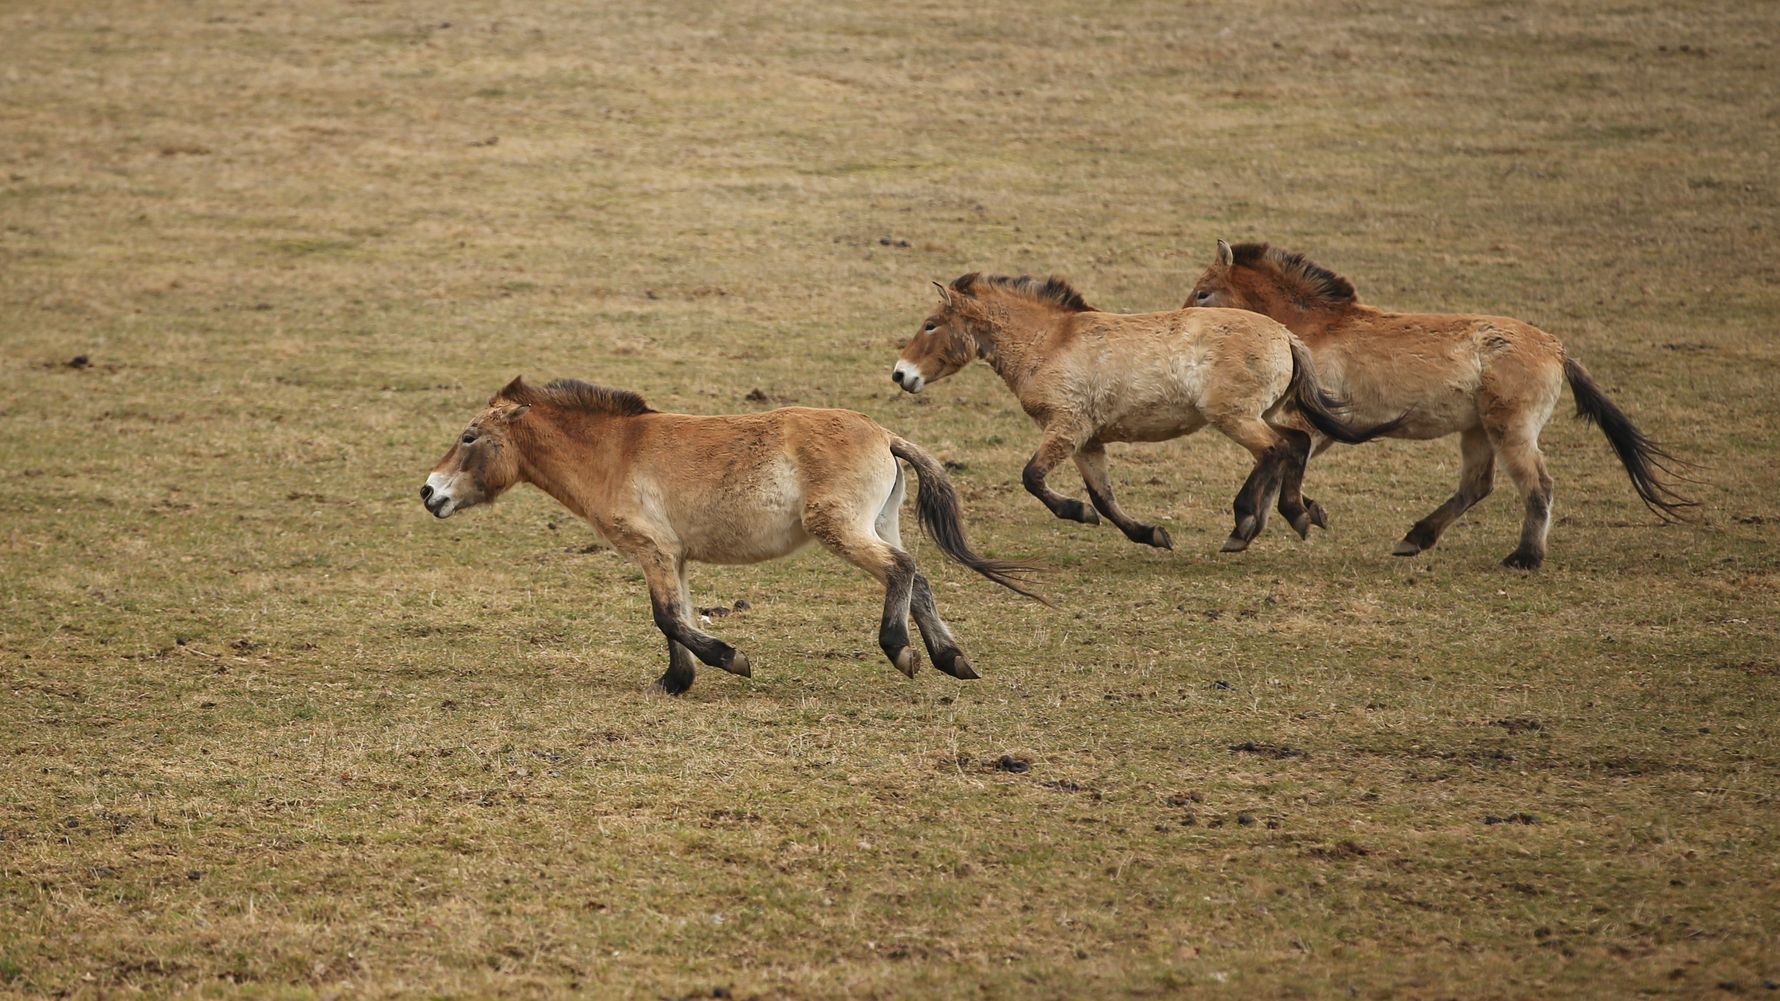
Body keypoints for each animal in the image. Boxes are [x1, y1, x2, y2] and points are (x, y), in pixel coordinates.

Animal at [421, 377, 1043, 695]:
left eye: (469, 436)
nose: (429, 492)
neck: (615, 452)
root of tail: (885, 434)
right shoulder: (673, 557)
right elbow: (678, 616)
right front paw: (676, 681)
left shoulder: (652, 551)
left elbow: (667, 618)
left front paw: (730, 660)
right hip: (879, 523)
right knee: (919, 578)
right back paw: (952, 659)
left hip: (841, 529)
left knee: (900, 570)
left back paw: (903, 652)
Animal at [890, 273, 1404, 554]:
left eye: (930, 324)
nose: (900, 374)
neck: (1049, 343)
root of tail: (1284, 335)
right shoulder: (1088, 441)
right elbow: (1104, 498)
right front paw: (1149, 533)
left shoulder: (1065, 429)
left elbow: (1033, 478)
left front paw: (1075, 512)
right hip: (1262, 414)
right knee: (1295, 445)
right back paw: (1297, 513)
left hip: (1235, 418)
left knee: (1276, 451)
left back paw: (1245, 525)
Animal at [1184, 240, 1695, 568]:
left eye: (1204, 291)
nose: (1182, 321)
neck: (1314, 330)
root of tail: (1556, 348)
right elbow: (1280, 465)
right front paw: (1280, 519)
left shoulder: (1314, 424)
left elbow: (1281, 461)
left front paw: (1259, 522)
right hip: (1478, 433)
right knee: (1476, 487)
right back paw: (1416, 539)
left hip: (1511, 433)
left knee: (1538, 487)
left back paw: (1524, 558)